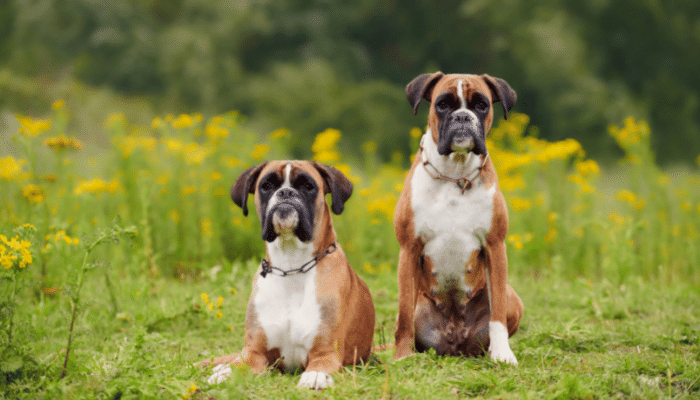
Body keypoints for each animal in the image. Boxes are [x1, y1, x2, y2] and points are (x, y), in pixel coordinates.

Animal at [201, 161, 378, 390]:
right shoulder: (255, 352)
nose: (285, 192)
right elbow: (239, 365)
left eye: (307, 185)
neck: (291, 265)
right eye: (267, 185)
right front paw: (226, 374)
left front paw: (315, 376)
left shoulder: (325, 351)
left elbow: (319, 367)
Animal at [392, 72, 524, 366]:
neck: (454, 175)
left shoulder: (496, 247)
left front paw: (502, 354)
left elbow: (497, 313)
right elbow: (404, 314)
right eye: (442, 104)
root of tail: (455, 342)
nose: (463, 116)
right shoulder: (408, 249)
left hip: (513, 296)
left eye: (481, 105)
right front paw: (402, 355)